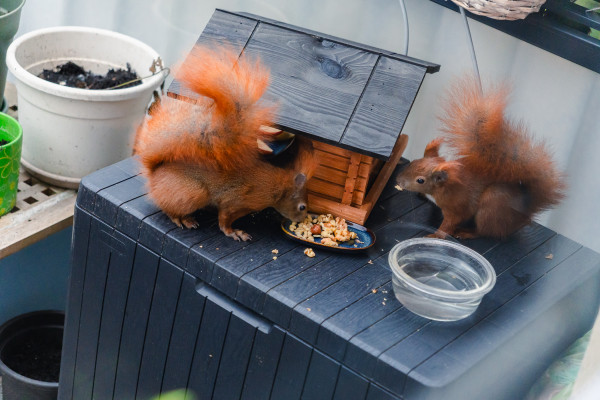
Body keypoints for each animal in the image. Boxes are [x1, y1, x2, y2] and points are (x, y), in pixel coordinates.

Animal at [133, 46, 316, 241]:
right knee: (169, 210)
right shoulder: (235, 201)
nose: (302, 219)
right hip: (194, 193)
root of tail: (154, 175)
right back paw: (183, 220)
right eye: (302, 207)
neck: (278, 185)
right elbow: (224, 219)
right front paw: (235, 232)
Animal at [398, 79, 568, 239]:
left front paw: (435, 235)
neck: (445, 187)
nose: (398, 181)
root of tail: (524, 213)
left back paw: (467, 233)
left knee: (485, 231)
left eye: (420, 180)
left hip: (491, 207)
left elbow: (450, 223)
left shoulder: (457, 206)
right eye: (413, 162)